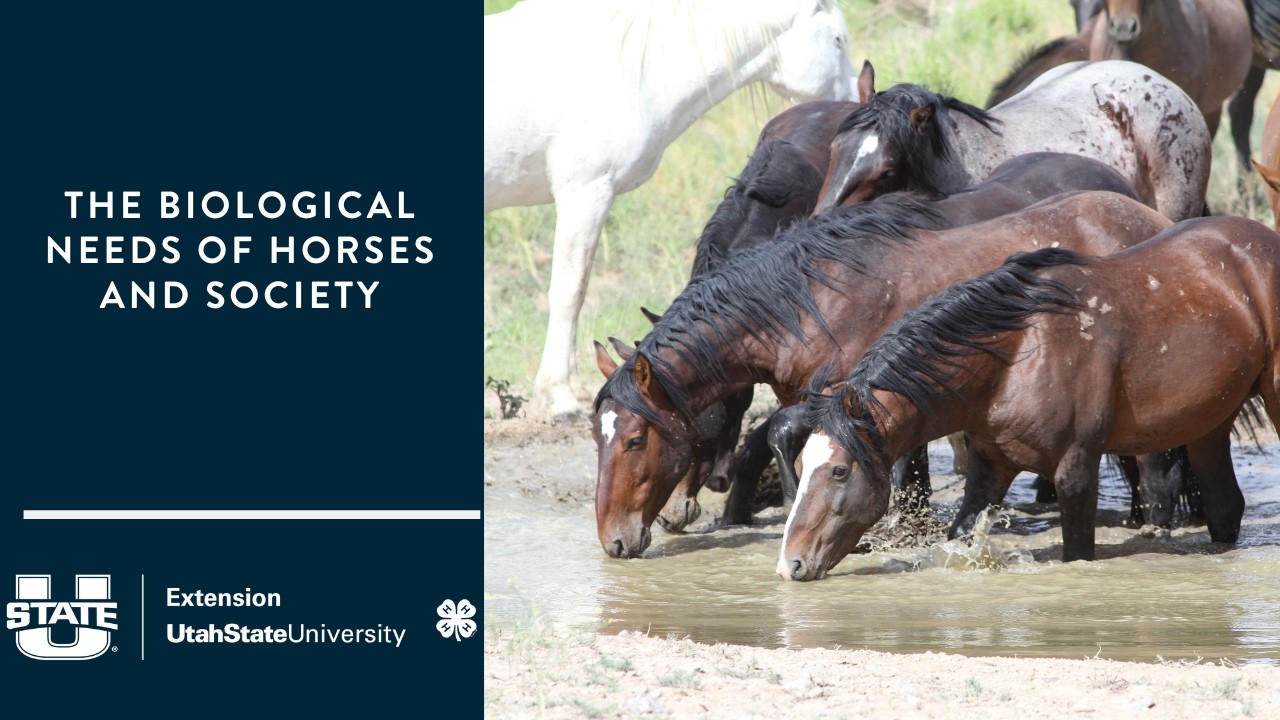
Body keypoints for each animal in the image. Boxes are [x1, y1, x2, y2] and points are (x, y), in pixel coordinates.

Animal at [484, 0, 859, 421]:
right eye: (838, 39)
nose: (852, 99)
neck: (628, 71)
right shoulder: (585, 192)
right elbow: (569, 294)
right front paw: (561, 397)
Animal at [591, 190, 1171, 558]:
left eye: (636, 440)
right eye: (599, 439)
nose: (613, 541)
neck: (806, 302)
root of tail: (1151, 218)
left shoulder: (836, 393)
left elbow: (782, 434)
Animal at [782, 220, 1280, 580]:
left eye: (839, 470)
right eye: (800, 466)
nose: (790, 564)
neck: (1016, 357)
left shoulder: (1076, 471)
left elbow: (1077, 551)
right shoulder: (990, 468)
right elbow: (961, 532)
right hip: (1209, 424)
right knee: (1224, 507)